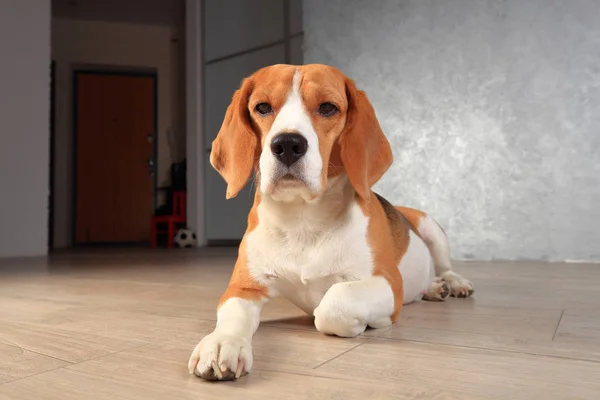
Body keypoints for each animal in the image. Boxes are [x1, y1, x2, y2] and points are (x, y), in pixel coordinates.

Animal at [188, 63, 474, 382]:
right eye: (262, 107)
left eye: (328, 108)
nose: (287, 144)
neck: (302, 220)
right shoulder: (243, 288)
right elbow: (232, 315)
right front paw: (222, 343)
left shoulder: (388, 282)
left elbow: (332, 304)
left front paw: (364, 323)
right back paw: (435, 288)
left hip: (430, 226)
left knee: (445, 266)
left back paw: (451, 283)